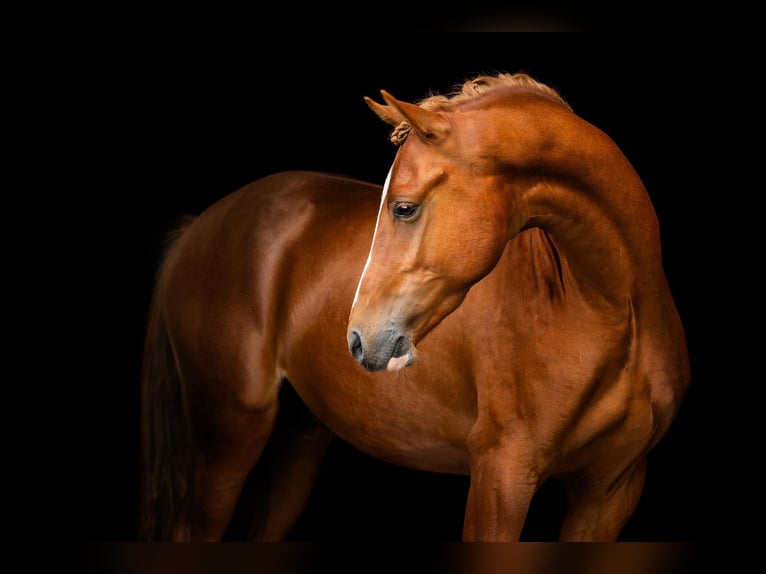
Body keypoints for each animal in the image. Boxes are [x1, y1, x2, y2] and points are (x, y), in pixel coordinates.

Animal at [139, 72, 690, 542]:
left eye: (403, 207)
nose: (357, 338)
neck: (611, 312)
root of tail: (199, 225)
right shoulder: (502, 475)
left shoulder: (608, 493)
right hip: (230, 431)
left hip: (298, 440)